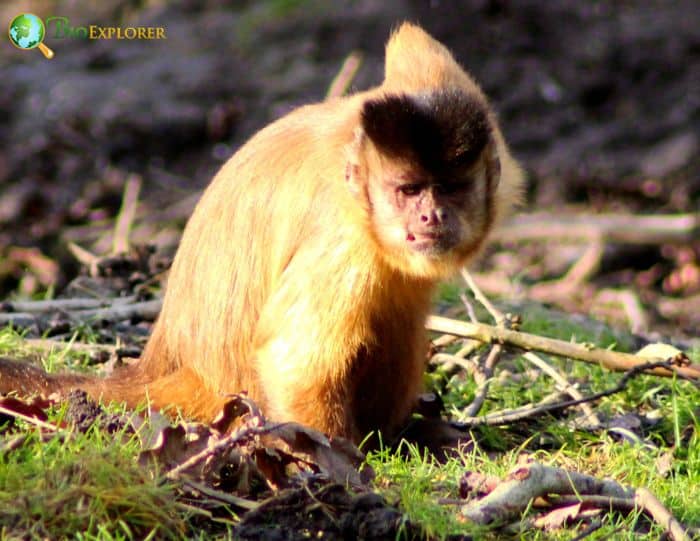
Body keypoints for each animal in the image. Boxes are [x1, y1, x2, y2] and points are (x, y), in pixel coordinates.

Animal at [0, 22, 524, 442]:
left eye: (451, 189)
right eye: (409, 190)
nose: (431, 216)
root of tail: (170, 361)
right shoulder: (343, 240)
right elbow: (294, 361)